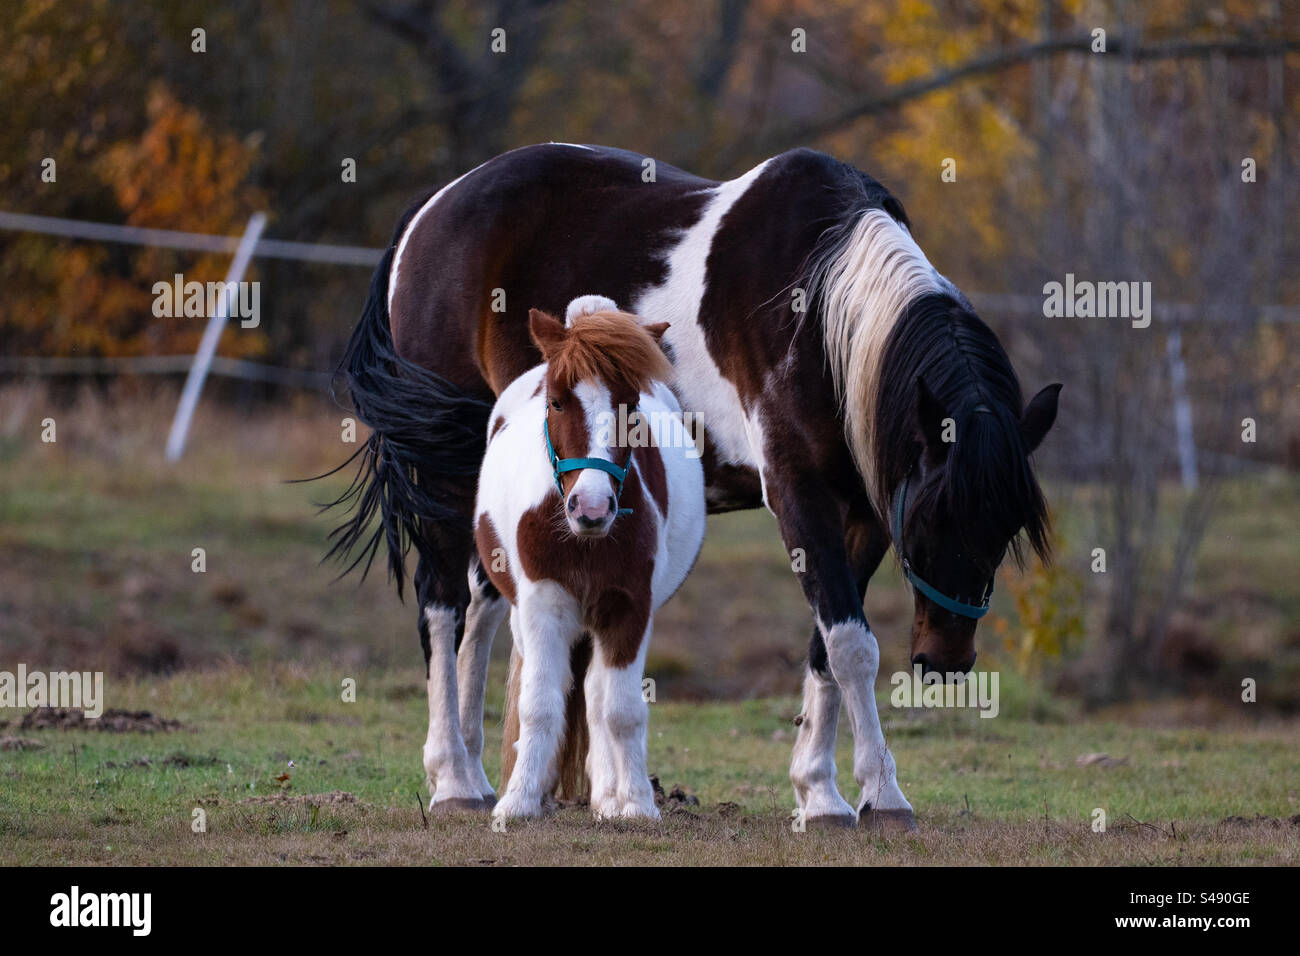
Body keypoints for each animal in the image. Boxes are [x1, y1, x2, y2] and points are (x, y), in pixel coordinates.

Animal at [473, 297, 705, 820]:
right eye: (557, 401)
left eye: (632, 406)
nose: (593, 509)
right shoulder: (543, 606)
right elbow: (539, 704)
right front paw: (519, 801)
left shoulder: (629, 609)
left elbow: (620, 710)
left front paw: (636, 803)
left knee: (598, 695)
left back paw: (607, 796)